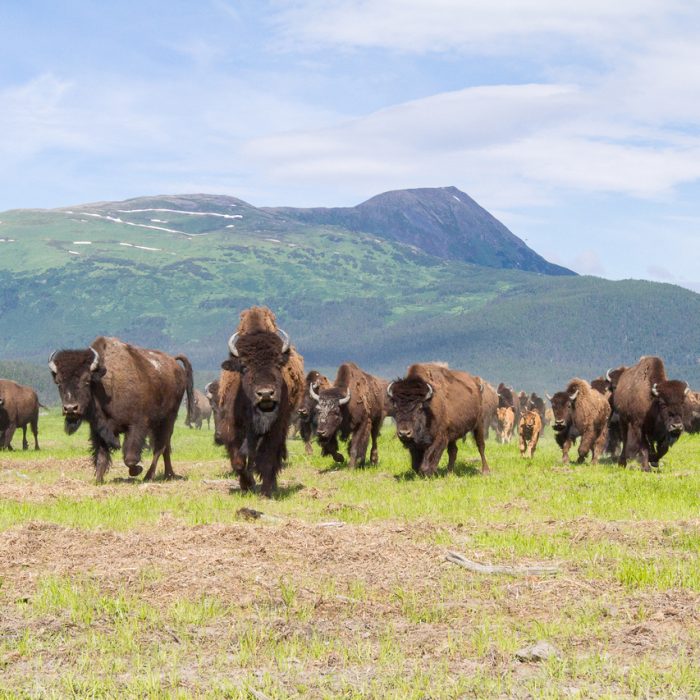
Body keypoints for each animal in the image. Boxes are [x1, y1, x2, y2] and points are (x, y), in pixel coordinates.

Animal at [48, 338, 194, 482]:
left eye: (87, 380)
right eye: (59, 382)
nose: (70, 408)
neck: (105, 386)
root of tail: (174, 363)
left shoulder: (137, 426)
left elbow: (130, 458)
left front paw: (137, 470)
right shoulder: (99, 430)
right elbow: (101, 456)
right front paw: (98, 480)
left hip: (168, 419)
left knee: (160, 447)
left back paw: (149, 476)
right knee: (165, 447)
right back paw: (169, 475)